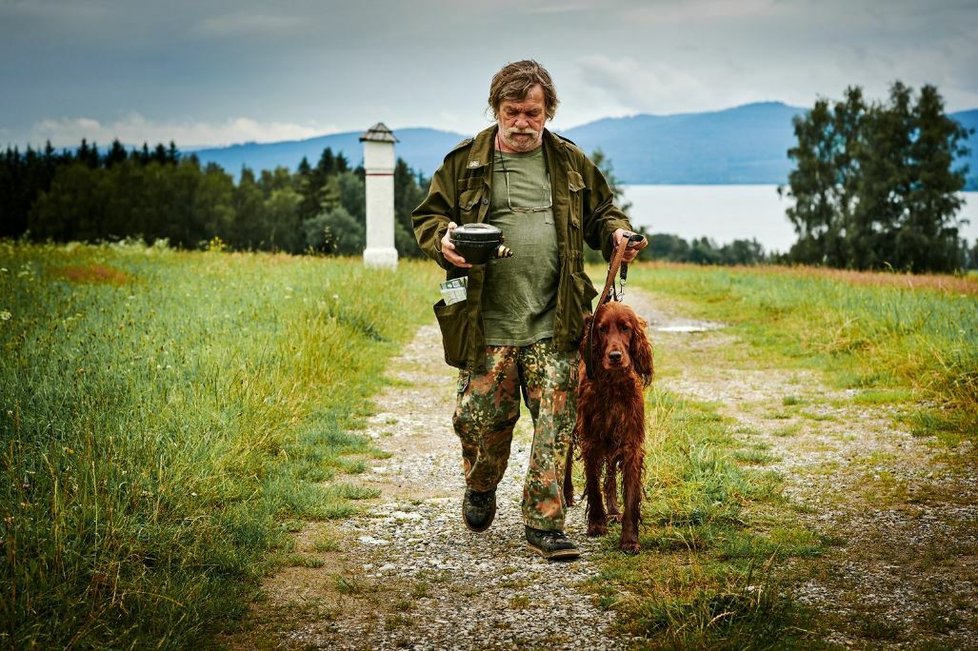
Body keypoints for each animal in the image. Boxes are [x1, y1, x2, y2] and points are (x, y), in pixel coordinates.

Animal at [560, 302, 652, 556]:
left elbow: (630, 496)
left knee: (610, 472)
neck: (613, 385)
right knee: (567, 458)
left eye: (625, 328)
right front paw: (596, 523)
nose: (615, 356)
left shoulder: (630, 445)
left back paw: (612, 509)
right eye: (601, 329)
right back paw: (567, 493)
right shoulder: (591, 440)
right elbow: (593, 484)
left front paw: (629, 539)